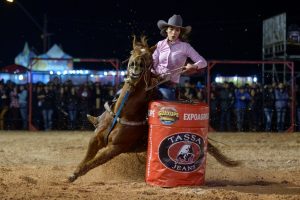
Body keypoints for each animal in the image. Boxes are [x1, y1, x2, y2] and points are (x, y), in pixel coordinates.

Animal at [68, 36, 241, 183]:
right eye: (132, 52)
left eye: (148, 57)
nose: (136, 65)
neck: (123, 112)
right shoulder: (95, 138)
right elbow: (87, 158)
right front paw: (73, 173)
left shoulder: (116, 148)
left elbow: (93, 162)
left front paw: (74, 175)